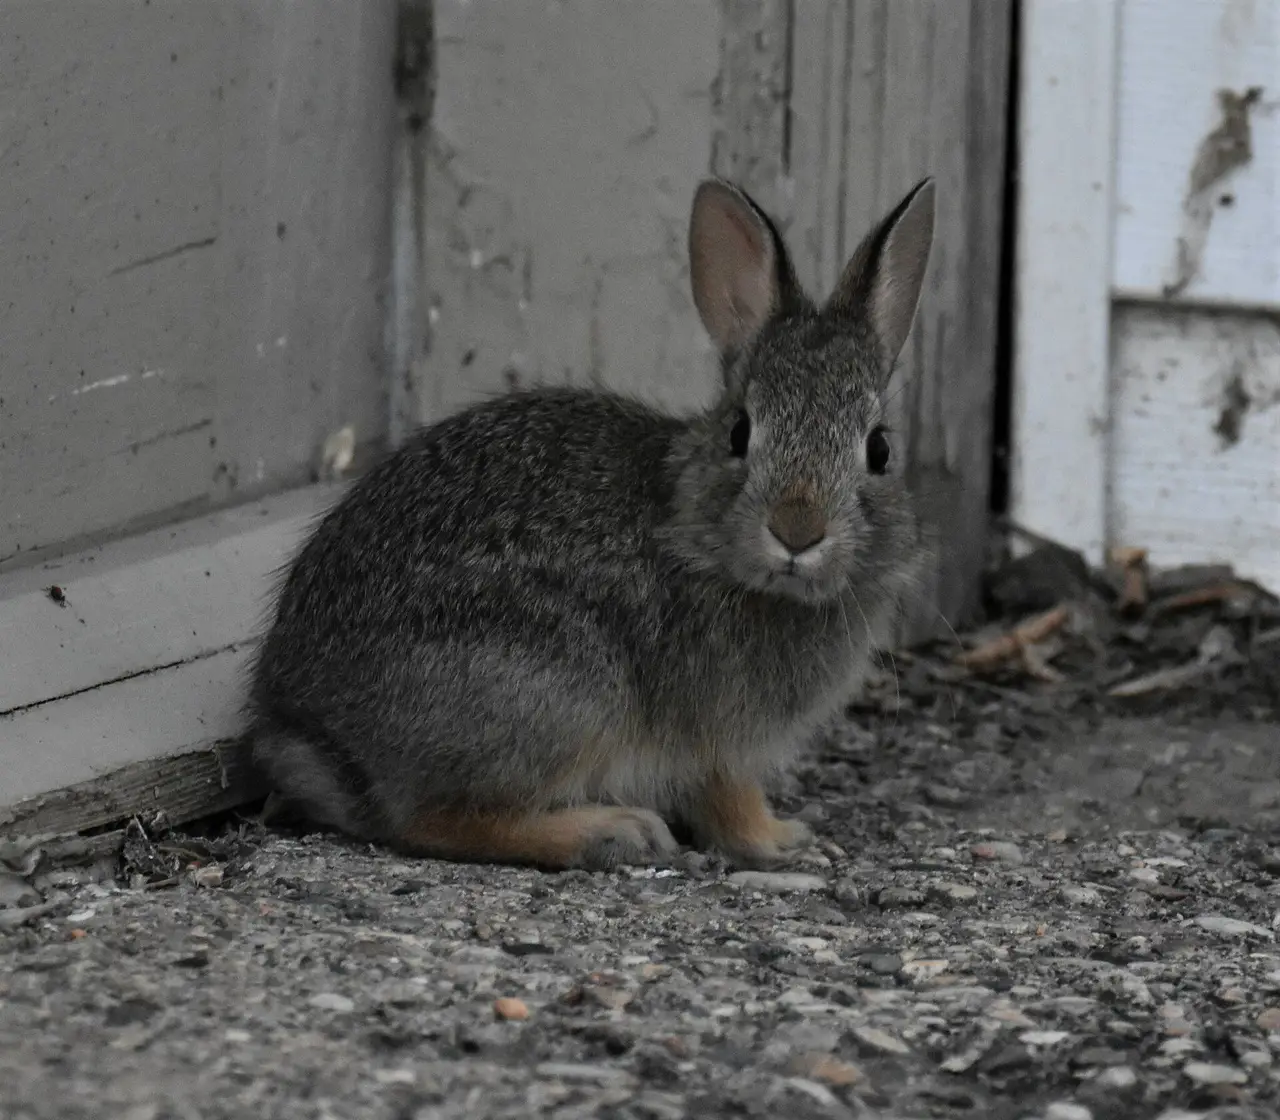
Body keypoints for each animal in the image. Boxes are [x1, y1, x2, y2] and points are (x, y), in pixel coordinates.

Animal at [247, 174, 935, 870]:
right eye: (740, 432)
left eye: (879, 450)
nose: (797, 531)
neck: (695, 532)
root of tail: (315, 736)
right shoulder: (717, 741)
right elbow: (729, 802)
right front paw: (784, 842)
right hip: (561, 691)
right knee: (433, 820)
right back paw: (612, 831)